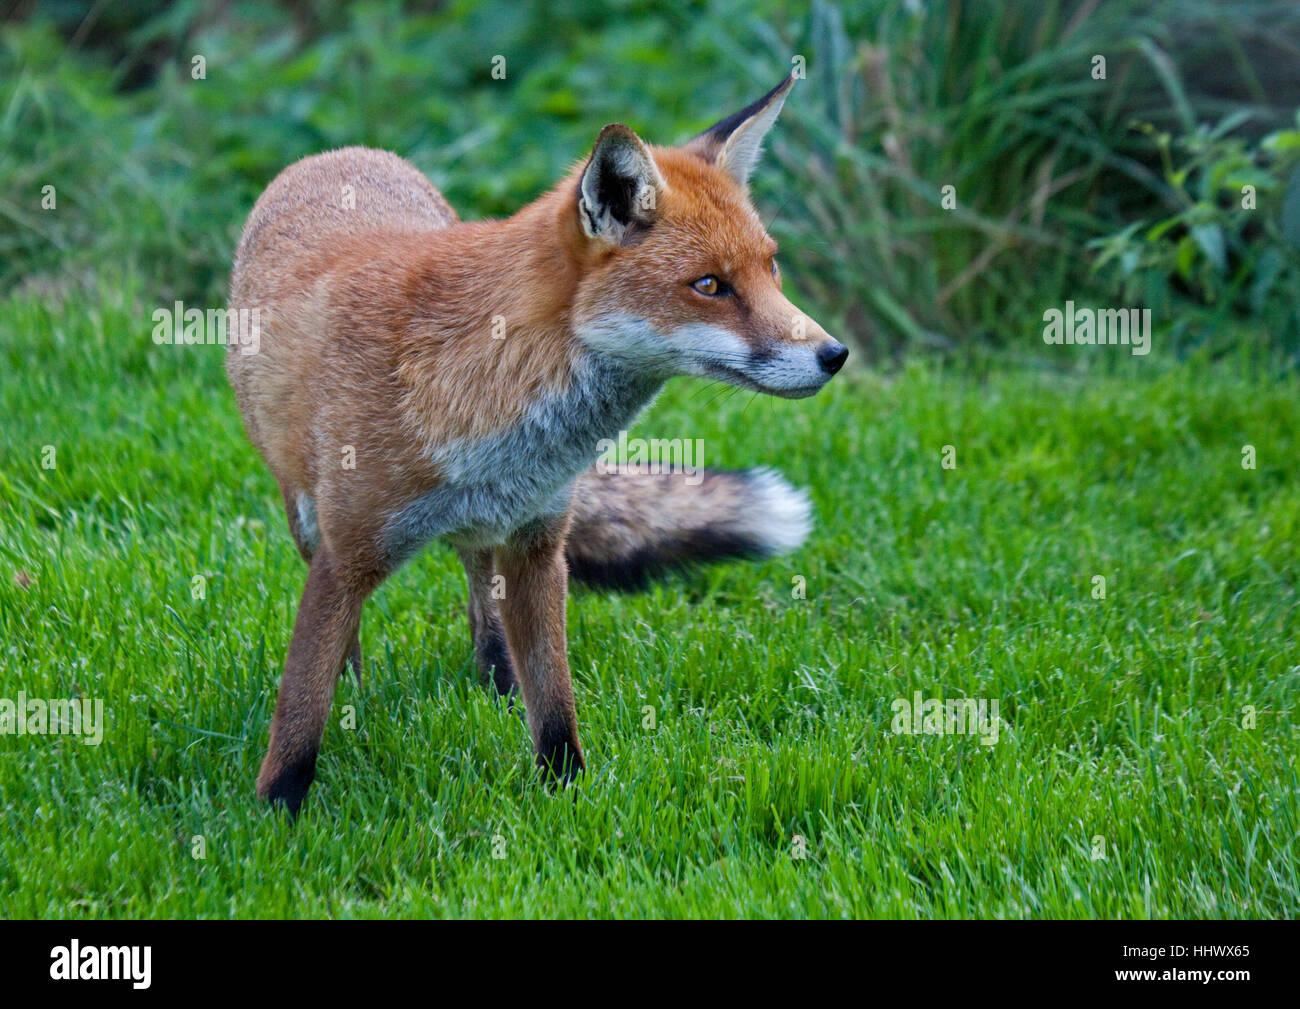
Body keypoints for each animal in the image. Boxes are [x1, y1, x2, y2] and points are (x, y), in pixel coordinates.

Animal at [226, 72, 847, 815]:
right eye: (709, 285)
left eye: (771, 270)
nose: (835, 355)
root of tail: (339, 153)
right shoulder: (346, 553)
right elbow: (302, 705)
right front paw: (276, 815)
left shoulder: (539, 543)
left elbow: (554, 703)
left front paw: (568, 795)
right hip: (305, 515)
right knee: (355, 640)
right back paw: (366, 692)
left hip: (483, 532)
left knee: (480, 596)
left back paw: (495, 685)